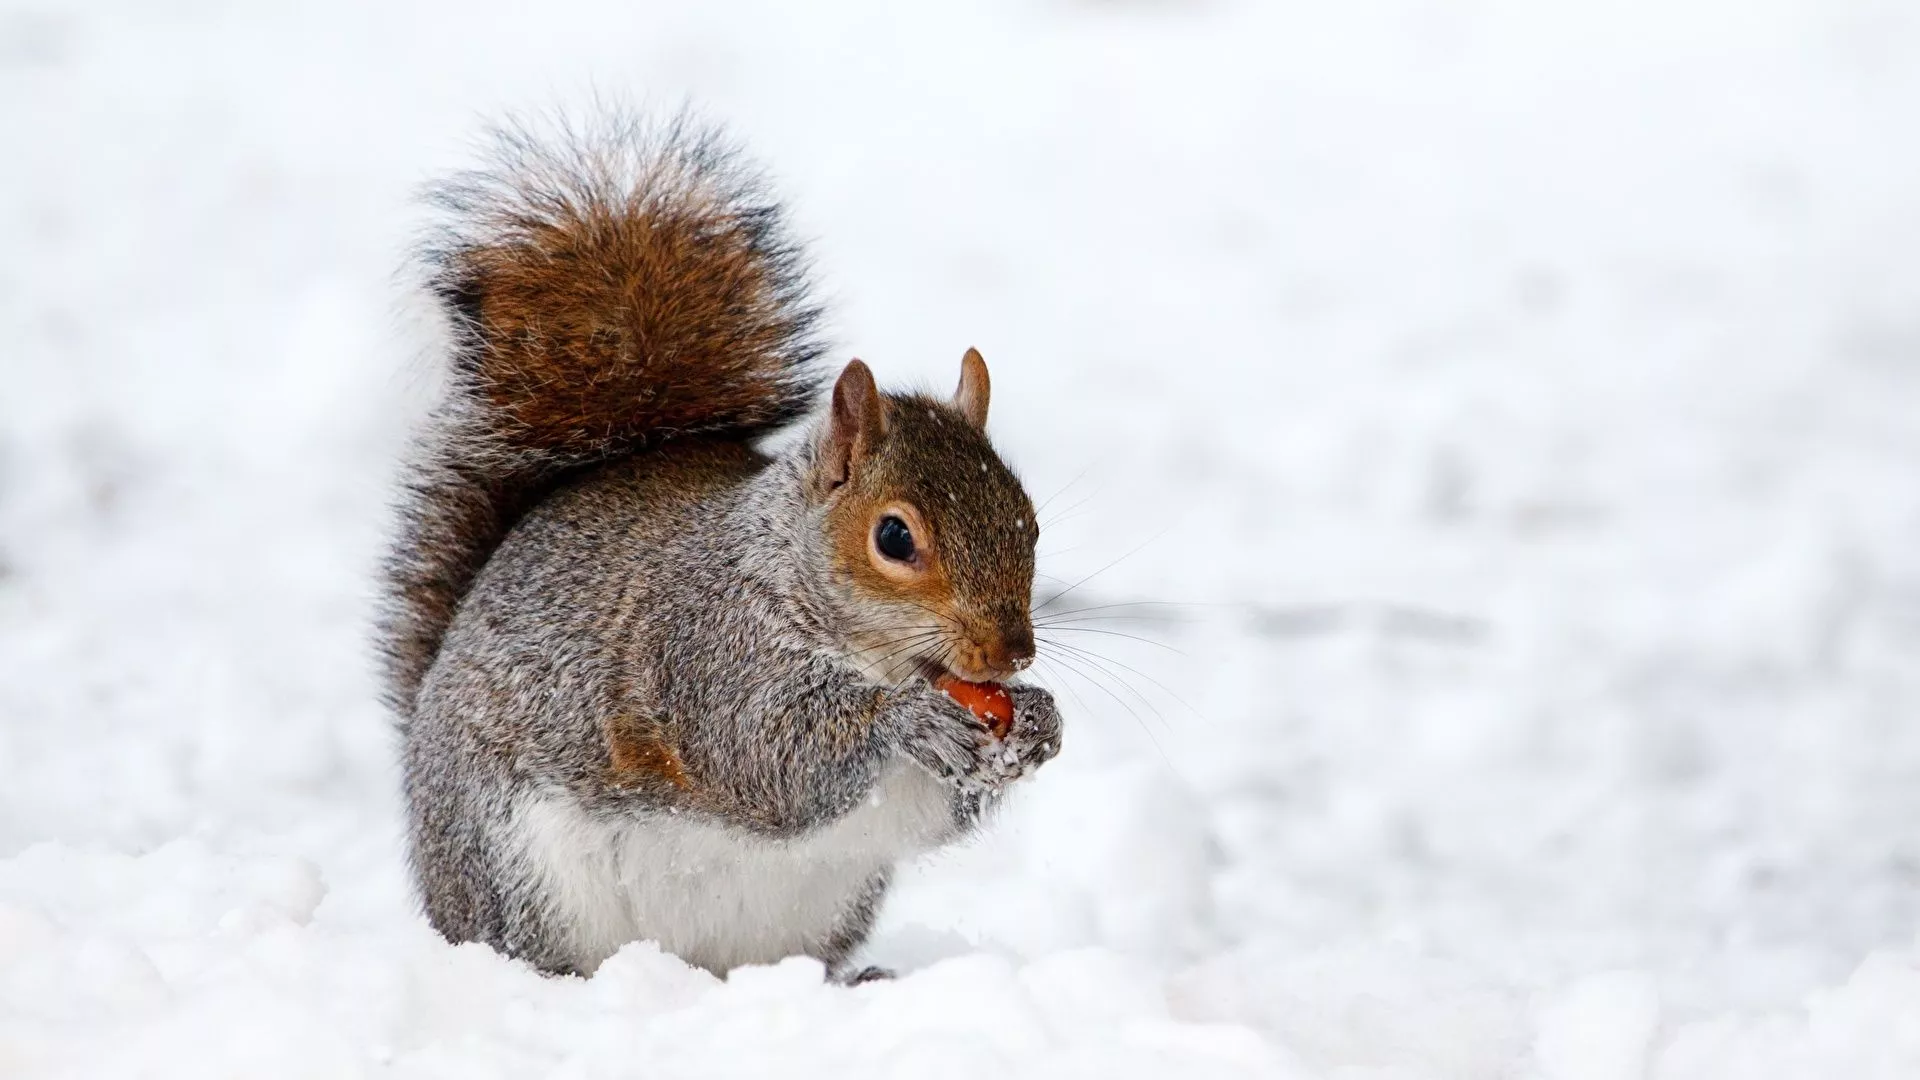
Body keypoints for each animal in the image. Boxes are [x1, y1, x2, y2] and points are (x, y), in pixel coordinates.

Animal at [378, 114, 1063, 982]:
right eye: (894, 536)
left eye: (1029, 521)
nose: (1013, 654)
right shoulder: (707, 650)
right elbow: (766, 755)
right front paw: (908, 720)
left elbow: (936, 809)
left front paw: (1039, 721)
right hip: (517, 871)